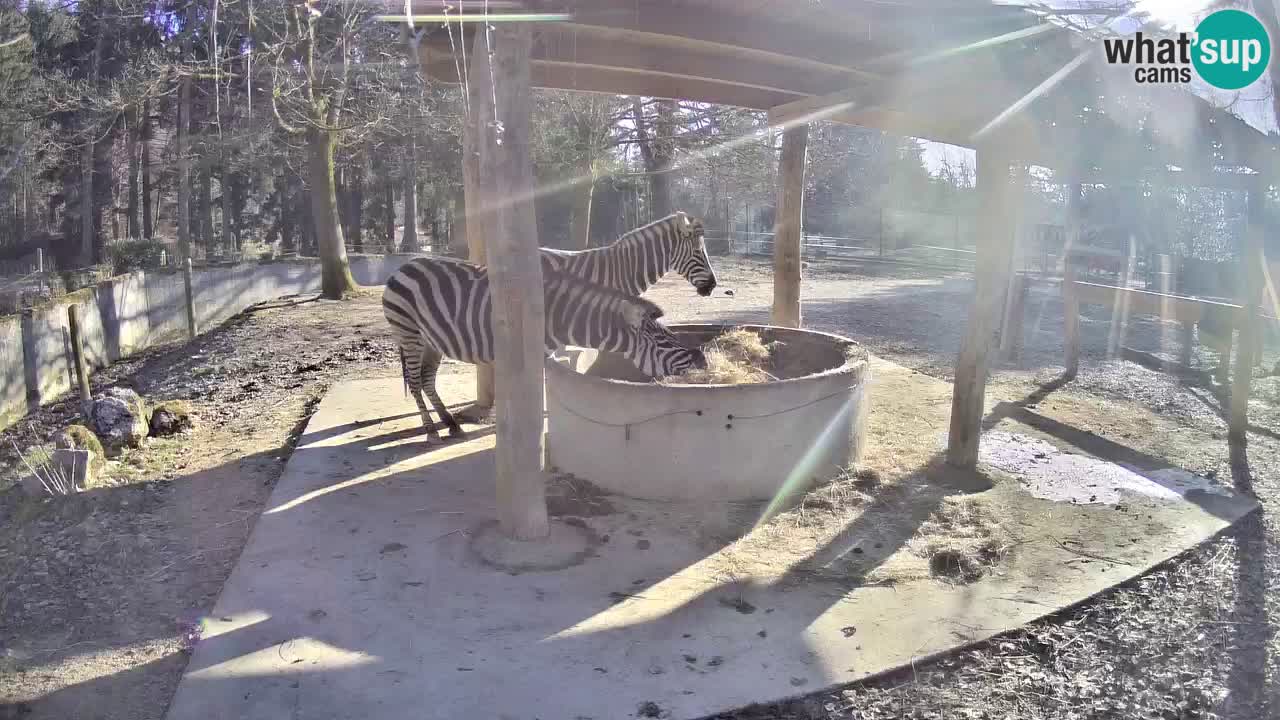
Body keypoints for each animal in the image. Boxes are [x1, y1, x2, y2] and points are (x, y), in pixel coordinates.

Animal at [381, 254, 711, 440]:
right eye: (663, 341)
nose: (702, 361)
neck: (560, 317)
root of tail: (403, 266)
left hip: (430, 340)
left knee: (426, 380)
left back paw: (450, 424)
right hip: (408, 333)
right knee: (415, 381)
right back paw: (431, 430)